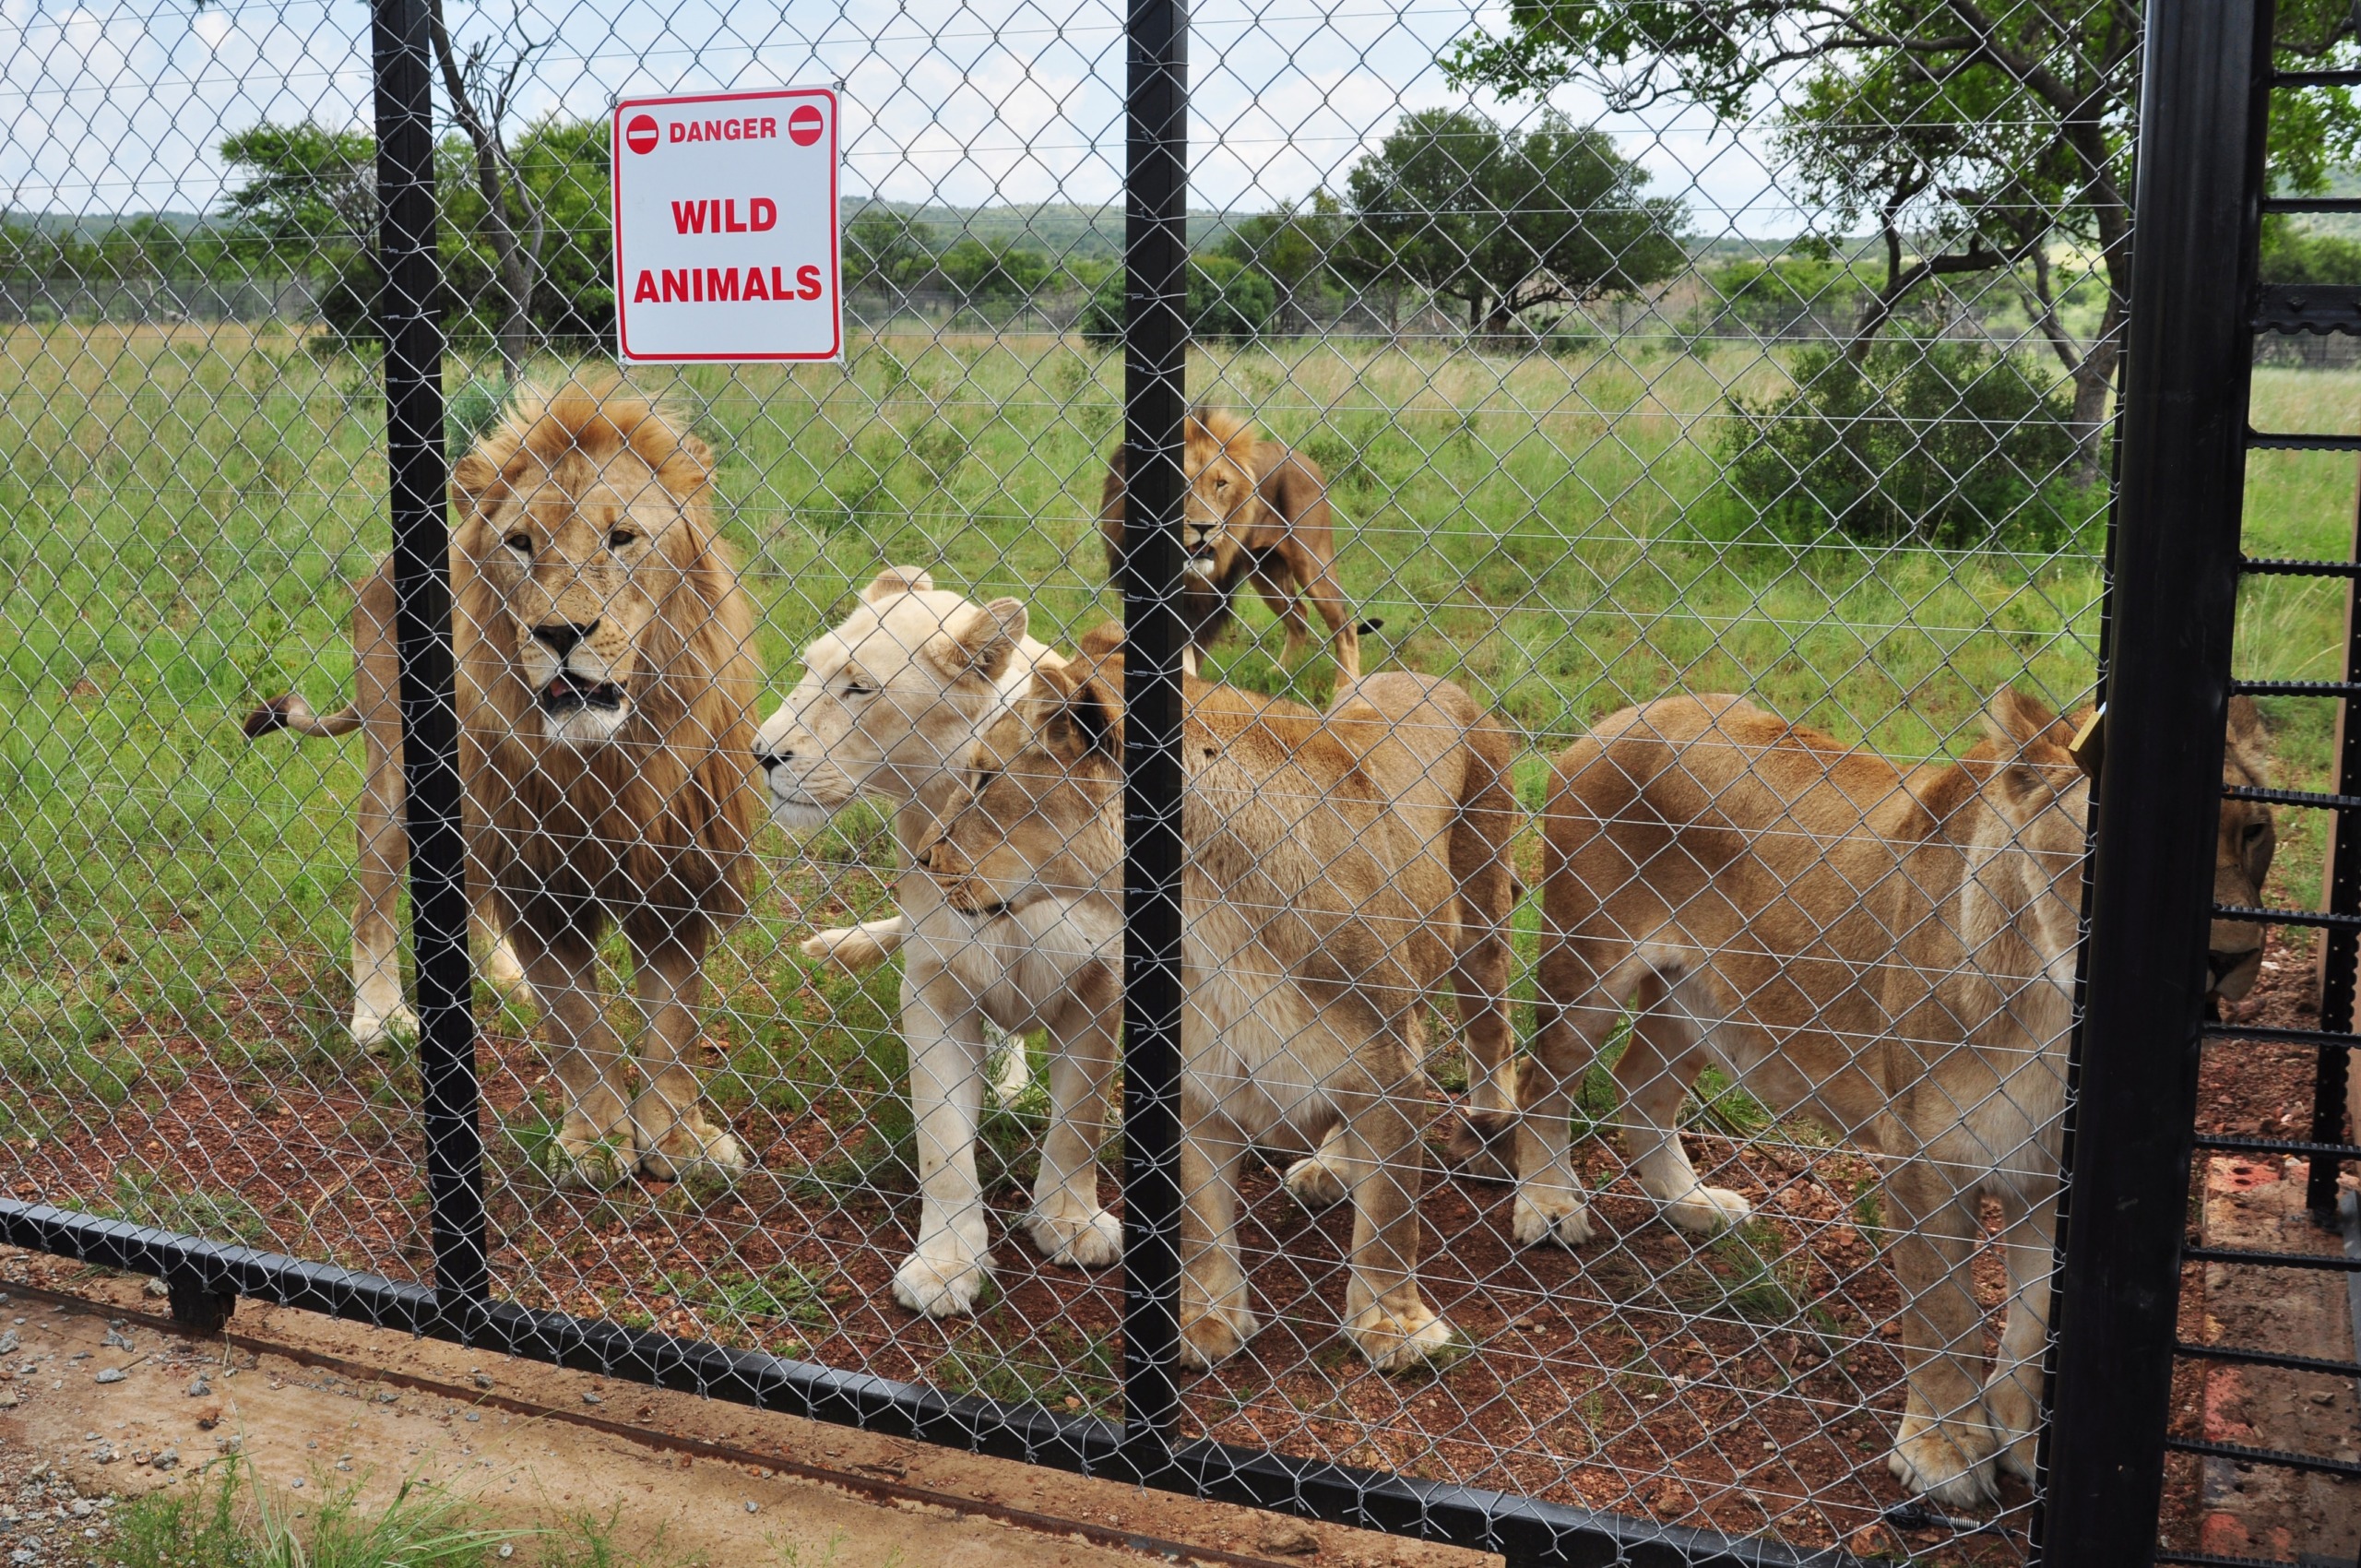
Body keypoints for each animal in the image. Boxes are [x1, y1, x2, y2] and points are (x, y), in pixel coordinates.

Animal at [249, 382, 765, 1190]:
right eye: (521, 544)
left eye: (622, 538)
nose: (560, 634)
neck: (608, 760)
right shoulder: (543, 879)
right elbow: (579, 1029)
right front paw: (595, 1146)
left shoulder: (677, 870)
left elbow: (673, 1027)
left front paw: (679, 1142)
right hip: (402, 777)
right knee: (371, 900)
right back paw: (379, 1016)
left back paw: (497, 975)